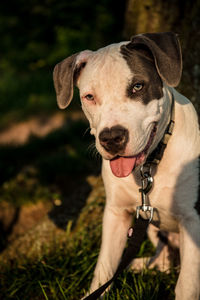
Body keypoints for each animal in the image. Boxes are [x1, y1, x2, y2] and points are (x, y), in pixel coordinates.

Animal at [53, 32, 200, 300]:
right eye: (89, 97)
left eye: (137, 86)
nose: (112, 138)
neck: (149, 166)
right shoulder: (116, 213)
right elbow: (104, 267)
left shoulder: (193, 220)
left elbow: (187, 284)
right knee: (162, 263)